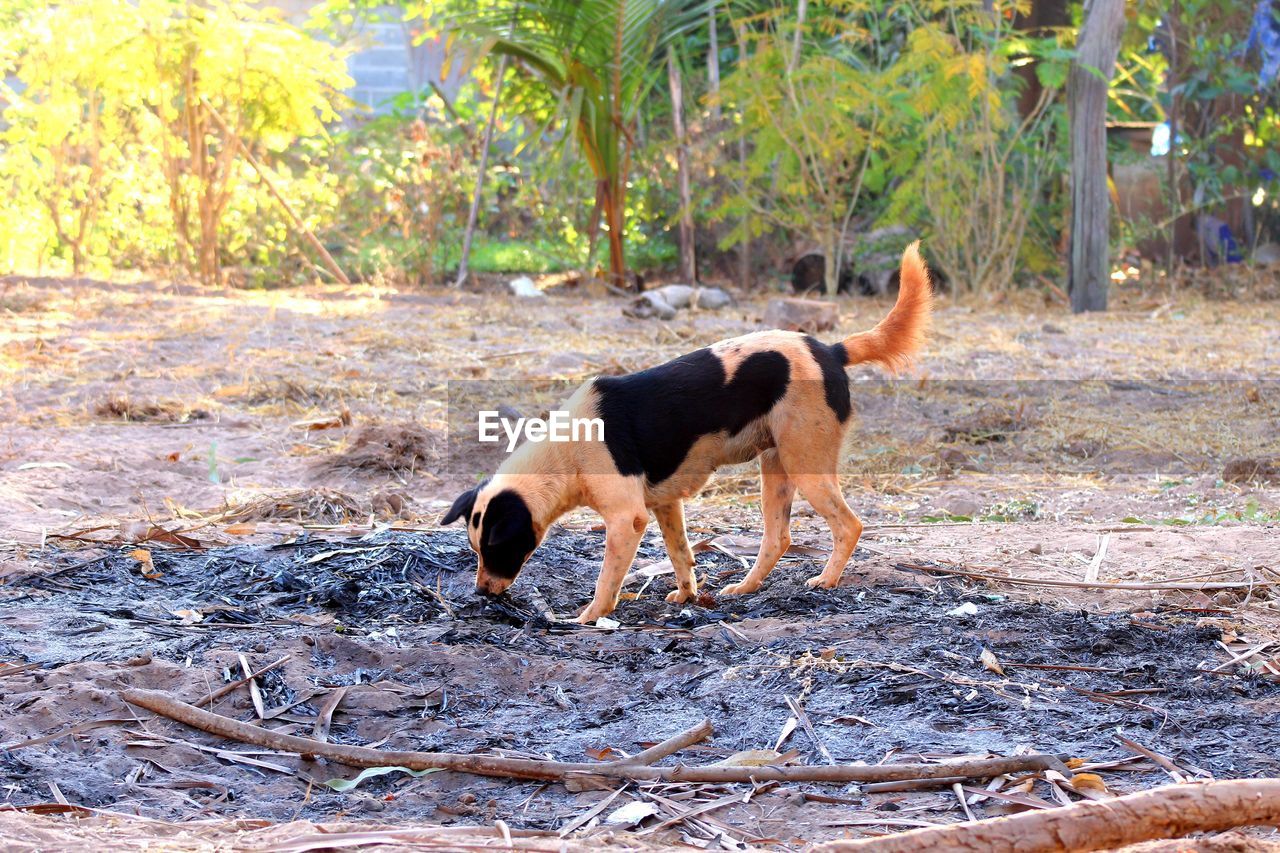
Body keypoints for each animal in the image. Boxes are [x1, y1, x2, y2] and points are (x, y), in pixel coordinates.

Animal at [440, 242, 931, 622]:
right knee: (778, 538)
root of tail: (830, 349)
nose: (481, 592)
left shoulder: (627, 519)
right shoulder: (666, 504)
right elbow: (681, 553)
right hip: (775, 469)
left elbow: (606, 579)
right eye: (475, 549)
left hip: (805, 465)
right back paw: (745, 588)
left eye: (495, 548)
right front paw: (688, 596)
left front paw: (590, 617)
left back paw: (827, 580)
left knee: (849, 525)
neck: (567, 451)